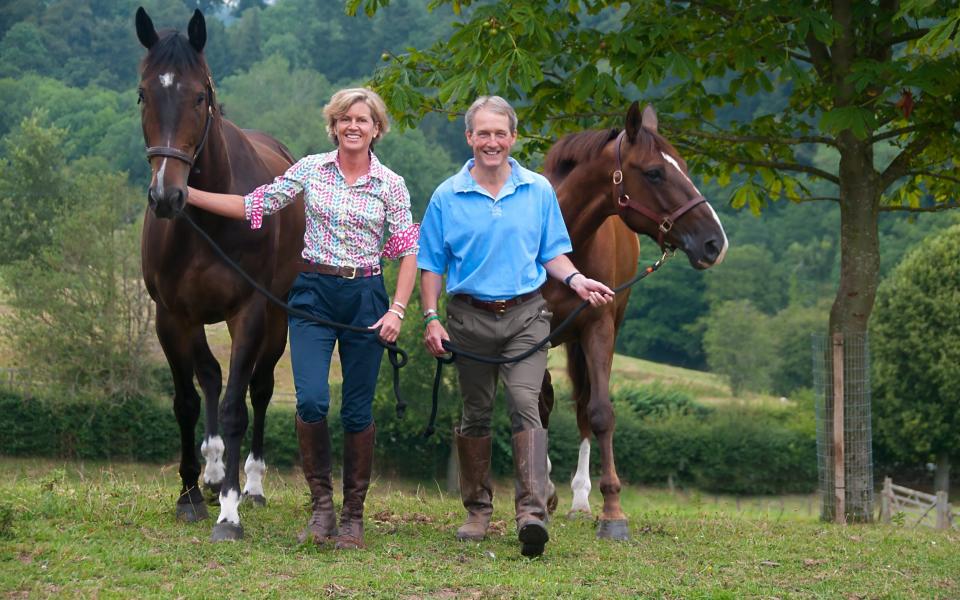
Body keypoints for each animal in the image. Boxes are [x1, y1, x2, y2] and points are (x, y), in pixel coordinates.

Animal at [134, 8, 304, 544]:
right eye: (144, 93)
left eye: (199, 96)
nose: (166, 197)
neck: (207, 219)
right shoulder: (172, 316)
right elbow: (188, 399)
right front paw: (190, 493)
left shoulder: (248, 313)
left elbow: (235, 407)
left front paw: (230, 512)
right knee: (209, 376)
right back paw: (210, 473)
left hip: (276, 319)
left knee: (259, 388)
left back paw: (250, 485)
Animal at [540, 103, 728, 540]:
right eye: (655, 172)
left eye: (684, 167)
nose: (714, 242)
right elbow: (536, 405)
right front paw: (542, 491)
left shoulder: (598, 327)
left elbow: (600, 412)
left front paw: (612, 509)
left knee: (581, 405)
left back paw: (579, 500)